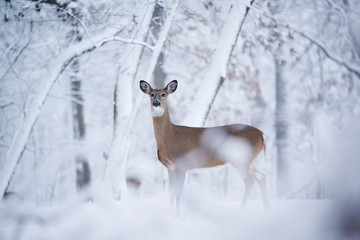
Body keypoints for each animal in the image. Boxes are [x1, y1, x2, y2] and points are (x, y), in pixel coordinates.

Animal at [139, 79, 268, 213]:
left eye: (164, 94)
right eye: (151, 94)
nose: (156, 103)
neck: (169, 137)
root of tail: (261, 134)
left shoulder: (181, 164)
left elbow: (179, 193)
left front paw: (177, 215)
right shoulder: (170, 168)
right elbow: (171, 193)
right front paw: (170, 214)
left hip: (241, 158)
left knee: (250, 181)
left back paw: (241, 210)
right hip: (248, 161)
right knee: (262, 177)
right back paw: (266, 209)